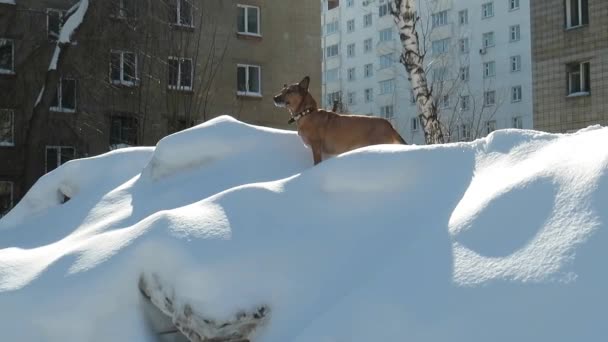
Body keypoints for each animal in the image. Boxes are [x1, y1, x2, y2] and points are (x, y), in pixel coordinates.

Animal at [274, 75, 406, 166]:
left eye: (289, 91)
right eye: (282, 90)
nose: (274, 98)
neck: (307, 113)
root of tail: (389, 124)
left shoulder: (316, 146)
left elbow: (316, 162)